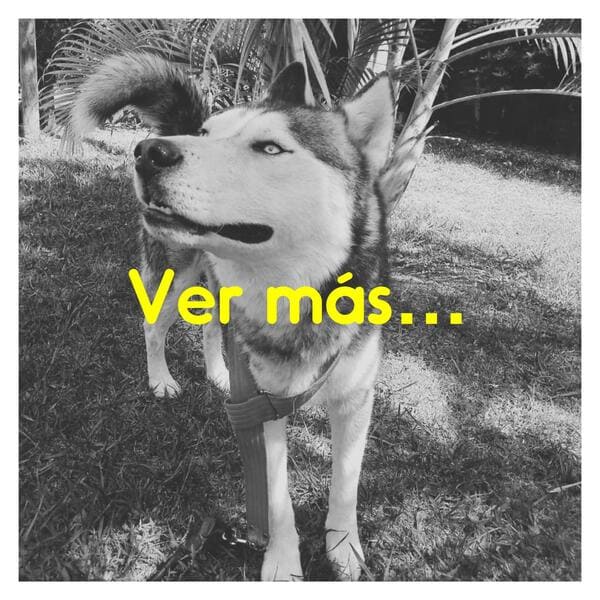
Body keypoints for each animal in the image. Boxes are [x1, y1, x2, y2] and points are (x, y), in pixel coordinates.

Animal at [68, 53, 394, 581]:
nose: (148, 153)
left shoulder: (354, 398)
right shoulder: (265, 410)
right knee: (153, 328)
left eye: (270, 147)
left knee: (210, 331)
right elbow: (277, 501)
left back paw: (219, 373)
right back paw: (161, 379)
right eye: (206, 133)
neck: (294, 297)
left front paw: (344, 548)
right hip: (174, 278)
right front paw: (282, 563)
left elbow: (345, 485)